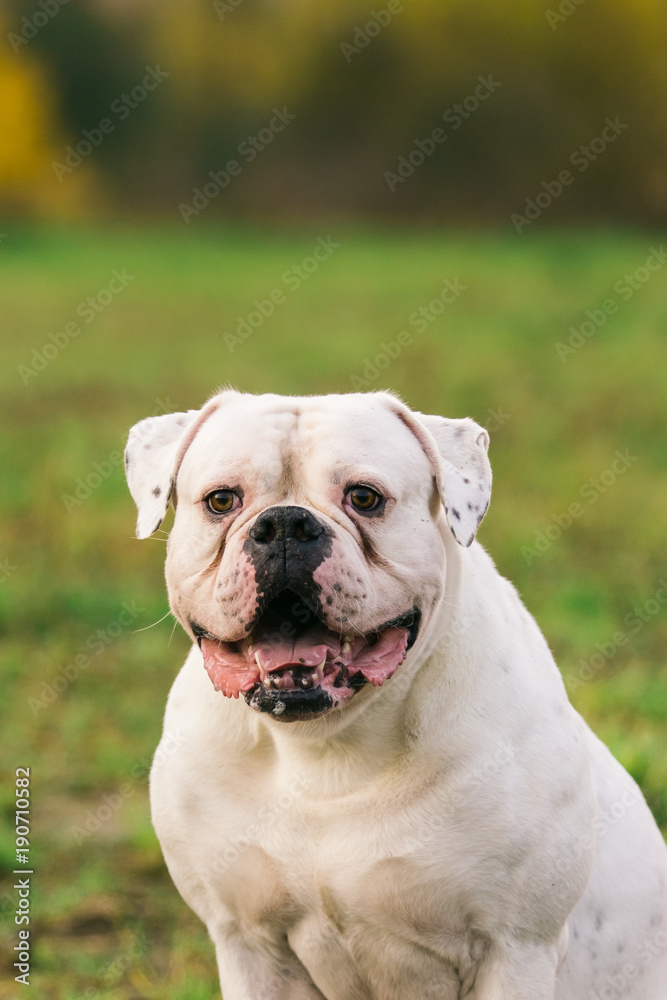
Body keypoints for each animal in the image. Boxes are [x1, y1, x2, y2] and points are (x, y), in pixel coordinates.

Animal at [125, 390, 667, 1000]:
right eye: (221, 500)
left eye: (364, 497)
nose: (285, 524)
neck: (325, 748)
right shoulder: (248, 942)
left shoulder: (516, 947)